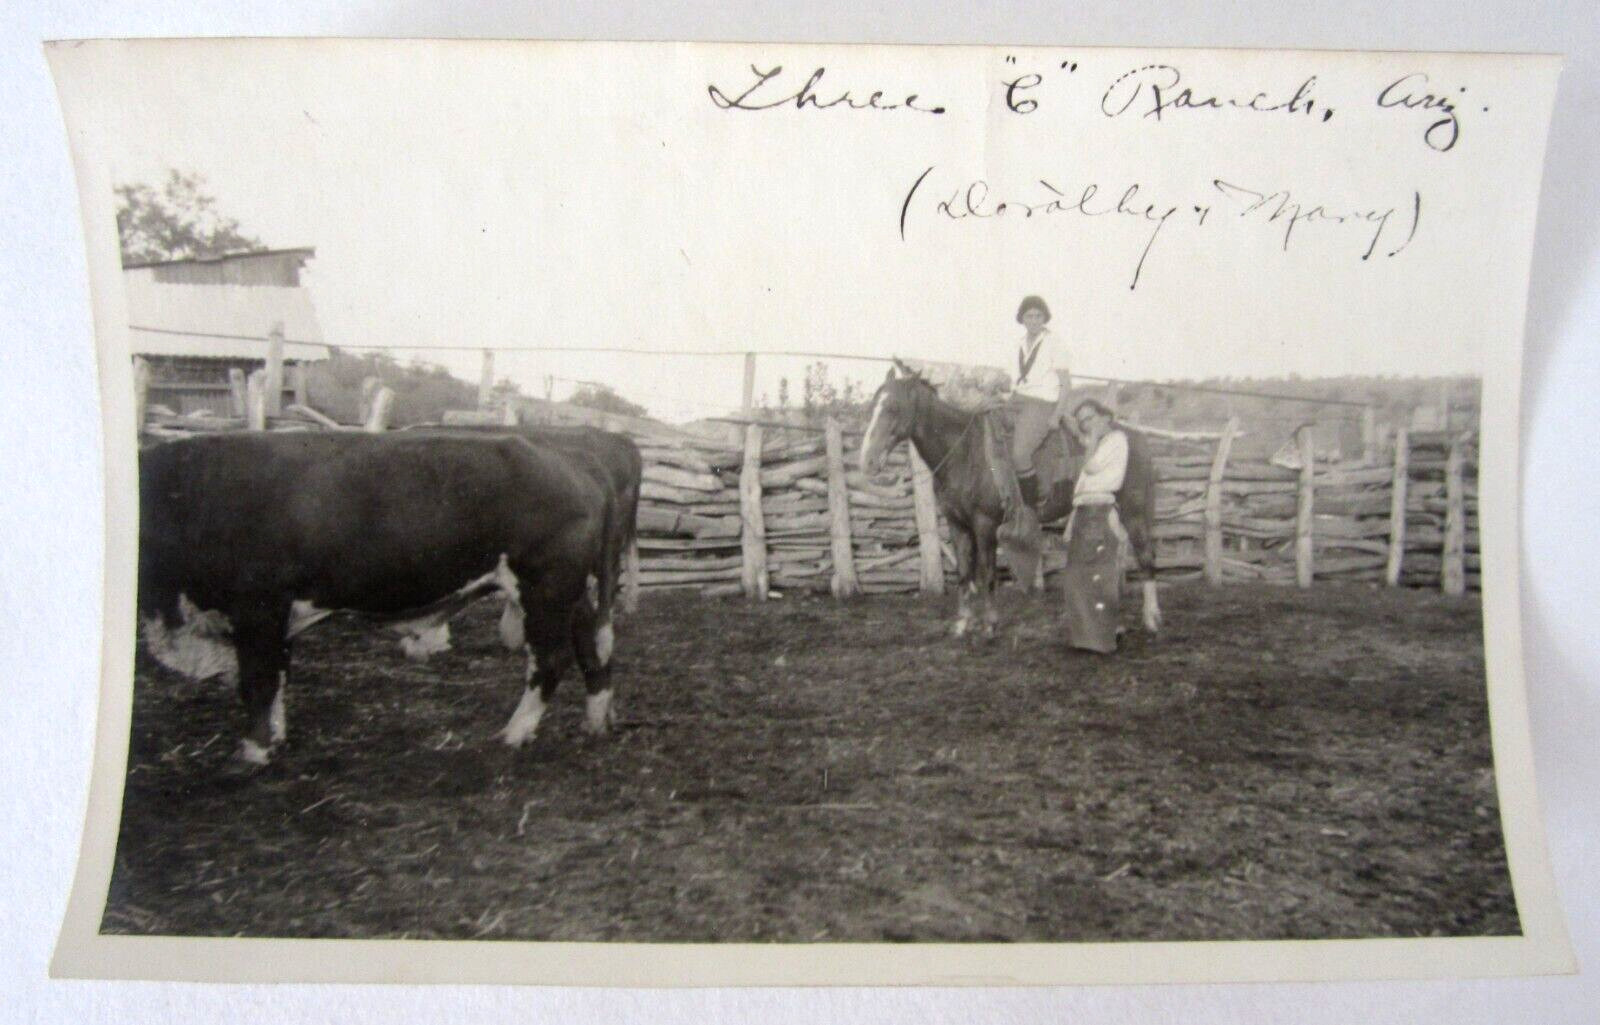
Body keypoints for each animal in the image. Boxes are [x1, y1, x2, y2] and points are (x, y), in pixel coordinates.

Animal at [137, 431, 617, 767]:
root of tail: (576, 459)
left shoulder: (258, 607)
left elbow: (257, 682)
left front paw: (253, 752)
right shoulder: (275, 618)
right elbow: (277, 678)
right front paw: (274, 739)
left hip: (545, 589)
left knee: (551, 659)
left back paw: (513, 734)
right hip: (574, 594)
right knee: (593, 649)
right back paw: (594, 723)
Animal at [858, 360, 1162, 640]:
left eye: (893, 408)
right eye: (873, 406)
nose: (867, 461)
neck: (964, 453)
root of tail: (1135, 436)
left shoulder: (984, 524)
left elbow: (987, 574)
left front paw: (989, 625)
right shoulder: (957, 524)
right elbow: (964, 573)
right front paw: (962, 624)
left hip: (1134, 512)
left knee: (1145, 556)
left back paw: (1151, 619)